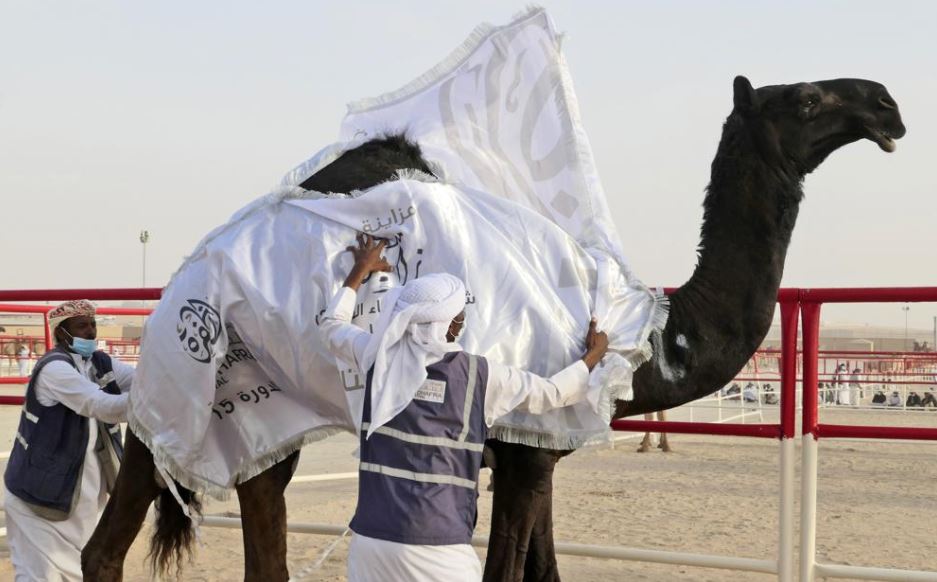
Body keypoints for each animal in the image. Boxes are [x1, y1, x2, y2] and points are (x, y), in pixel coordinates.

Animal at [82, 77, 908, 582]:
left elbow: (542, 570)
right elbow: (510, 572)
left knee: (133, 542)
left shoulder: (535, 451)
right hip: (200, 394)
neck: (648, 339)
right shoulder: (523, 449)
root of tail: (174, 292)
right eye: (804, 99)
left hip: (218, 414)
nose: (883, 104)